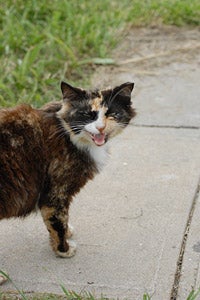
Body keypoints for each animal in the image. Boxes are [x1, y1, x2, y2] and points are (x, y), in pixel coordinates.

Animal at [0, 81, 135, 258]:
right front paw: (63, 249)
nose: (100, 127)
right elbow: (58, 223)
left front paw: (66, 234)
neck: (68, 133)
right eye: (87, 114)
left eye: (112, 113)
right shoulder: (56, 193)